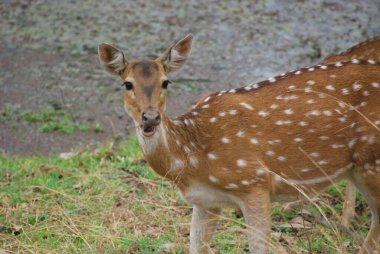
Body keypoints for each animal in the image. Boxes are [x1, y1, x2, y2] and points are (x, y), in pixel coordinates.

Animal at [98, 34, 380, 254]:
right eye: (127, 84)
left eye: (166, 81)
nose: (150, 117)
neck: (191, 158)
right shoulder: (205, 201)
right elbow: (195, 245)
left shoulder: (254, 182)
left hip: (371, 161)